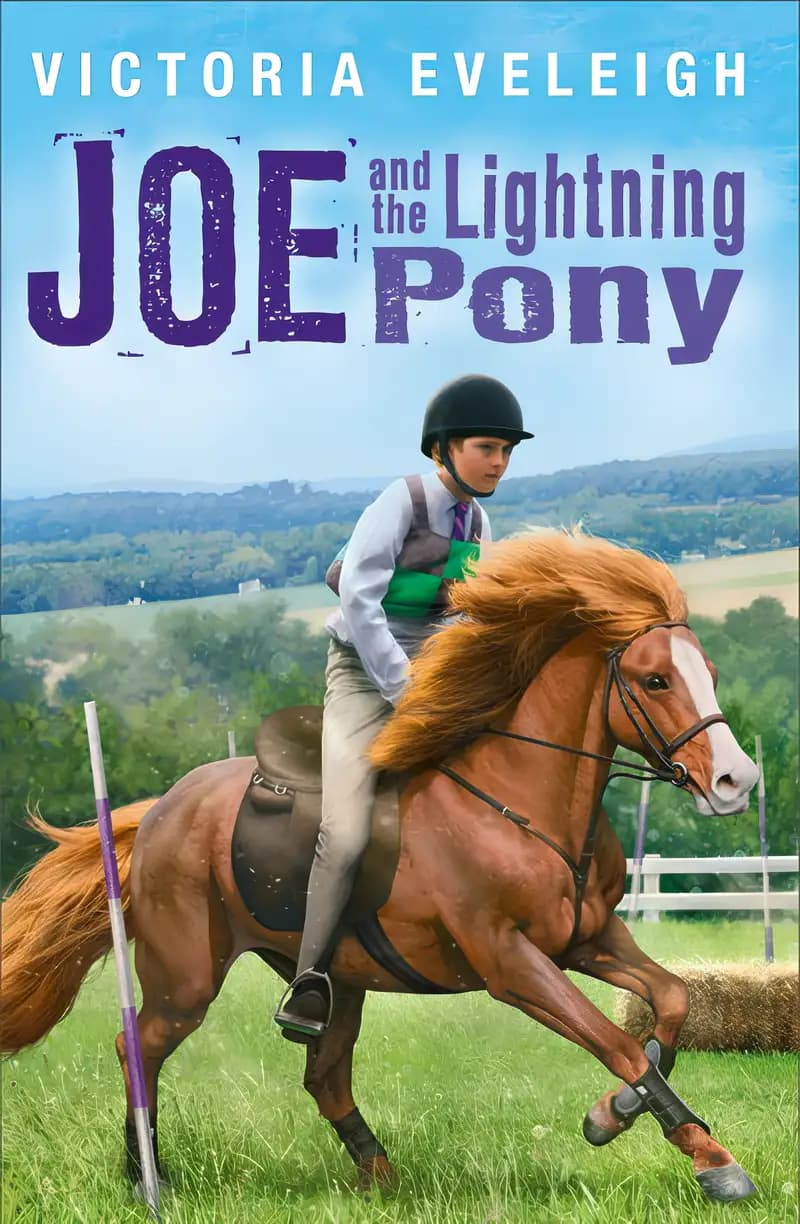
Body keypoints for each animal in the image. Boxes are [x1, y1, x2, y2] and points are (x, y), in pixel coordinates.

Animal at [1, 531, 761, 1205]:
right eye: (655, 679)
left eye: (712, 675)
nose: (737, 781)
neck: (520, 801)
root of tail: (160, 808)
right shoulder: (511, 963)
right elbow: (618, 1043)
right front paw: (712, 1159)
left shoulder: (588, 939)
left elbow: (671, 1001)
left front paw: (613, 1113)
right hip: (185, 976)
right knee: (139, 1049)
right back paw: (146, 1180)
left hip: (334, 979)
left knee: (324, 1075)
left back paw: (381, 1176)